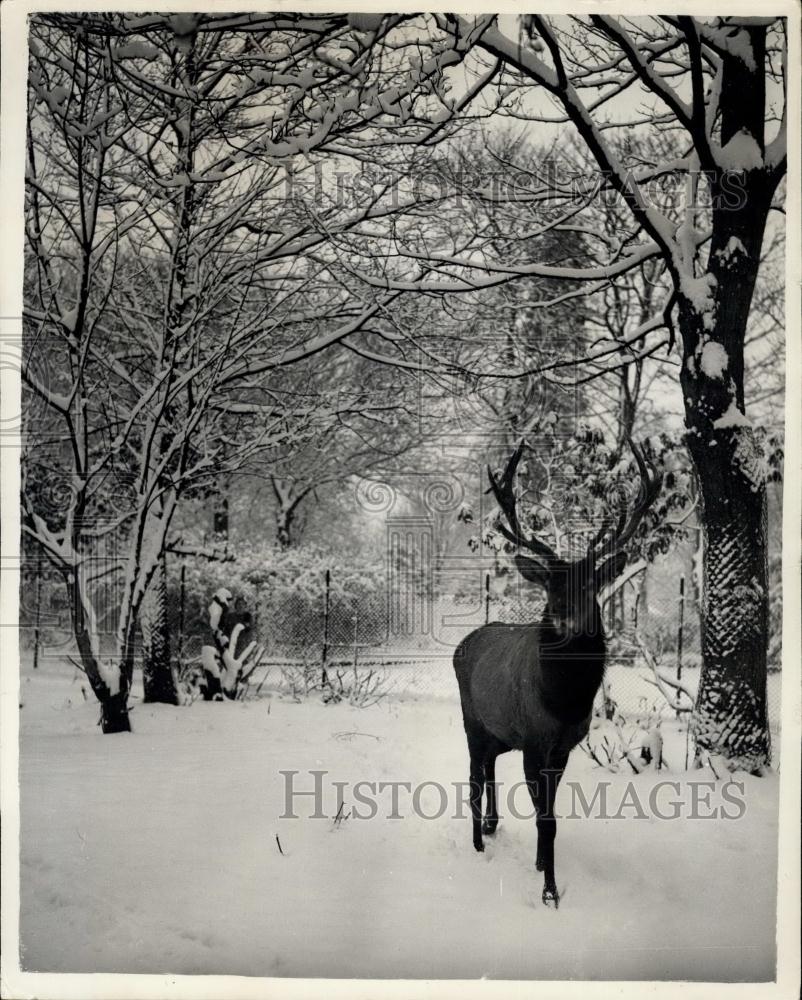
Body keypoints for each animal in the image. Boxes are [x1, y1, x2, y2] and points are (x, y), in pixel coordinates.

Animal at [453, 439, 661, 907]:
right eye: (550, 583)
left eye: (589, 584)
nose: (564, 615)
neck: (564, 700)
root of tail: (463, 644)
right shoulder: (535, 740)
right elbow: (545, 819)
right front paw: (549, 891)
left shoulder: (562, 745)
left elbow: (549, 814)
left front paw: (539, 864)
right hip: (471, 719)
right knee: (472, 777)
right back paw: (476, 844)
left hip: (499, 731)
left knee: (489, 767)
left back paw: (491, 826)